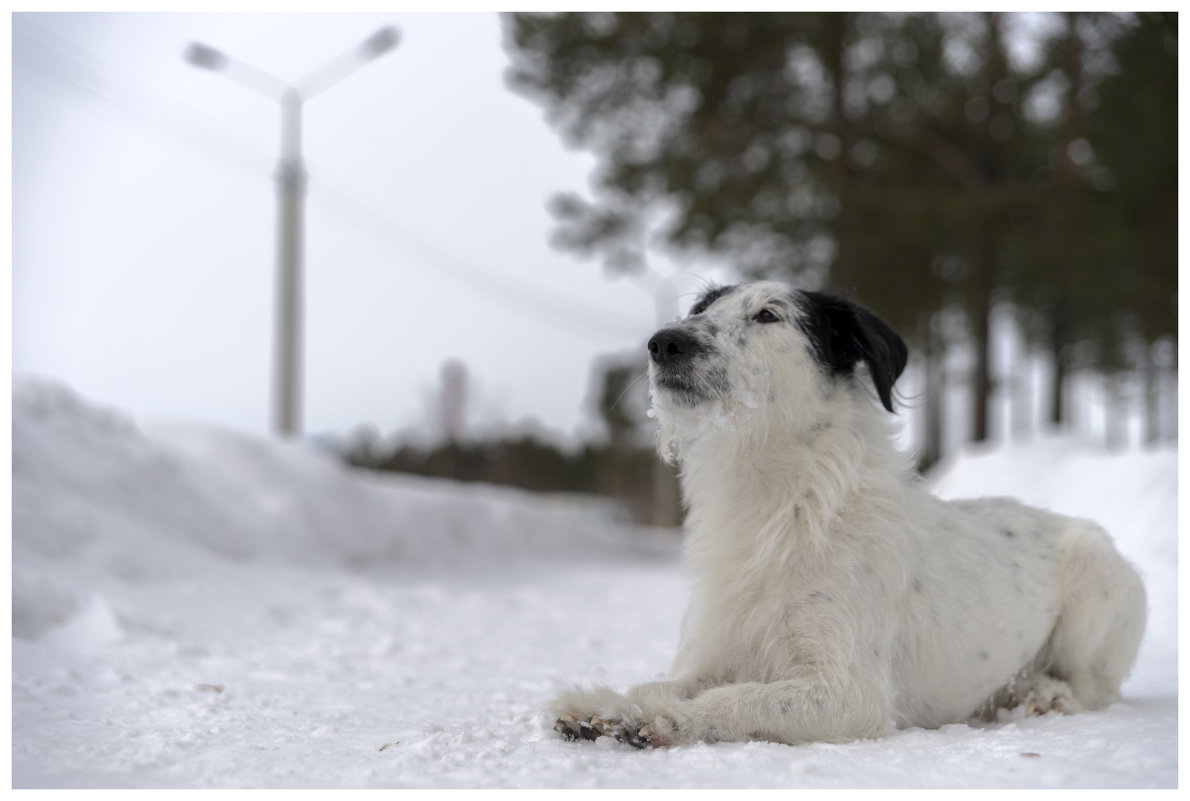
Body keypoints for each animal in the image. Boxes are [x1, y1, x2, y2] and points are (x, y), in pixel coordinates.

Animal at [547, 278, 1142, 747]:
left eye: (768, 314)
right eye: (703, 310)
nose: (665, 342)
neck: (775, 497)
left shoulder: (850, 692)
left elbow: (740, 698)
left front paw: (666, 719)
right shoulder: (715, 654)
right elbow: (664, 681)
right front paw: (608, 705)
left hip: (1094, 580)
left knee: (1093, 687)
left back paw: (1043, 693)